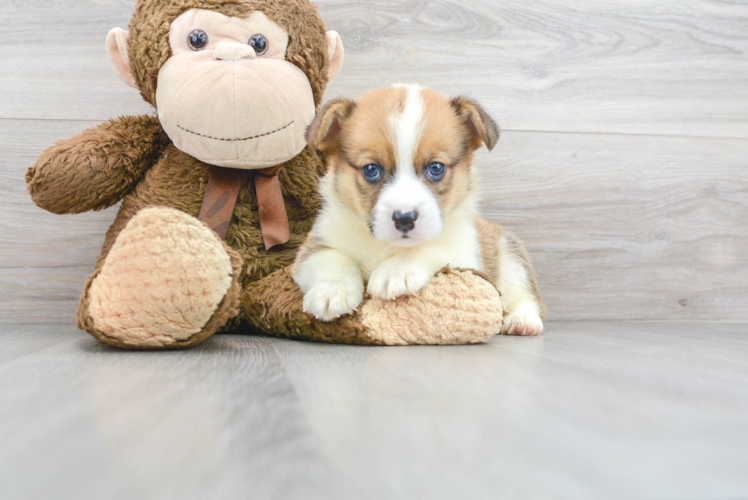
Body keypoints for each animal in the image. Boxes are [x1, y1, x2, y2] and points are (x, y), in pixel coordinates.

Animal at [290, 85, 544, 336]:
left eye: (436, 168)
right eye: (371, 169)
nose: (404, 219)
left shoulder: (465, 255)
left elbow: (429, 247)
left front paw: (397, 271)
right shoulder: (316, 244)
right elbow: (332, 259)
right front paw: (331, 292)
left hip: (511, 258)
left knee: (527, 298)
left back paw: (522, 320)